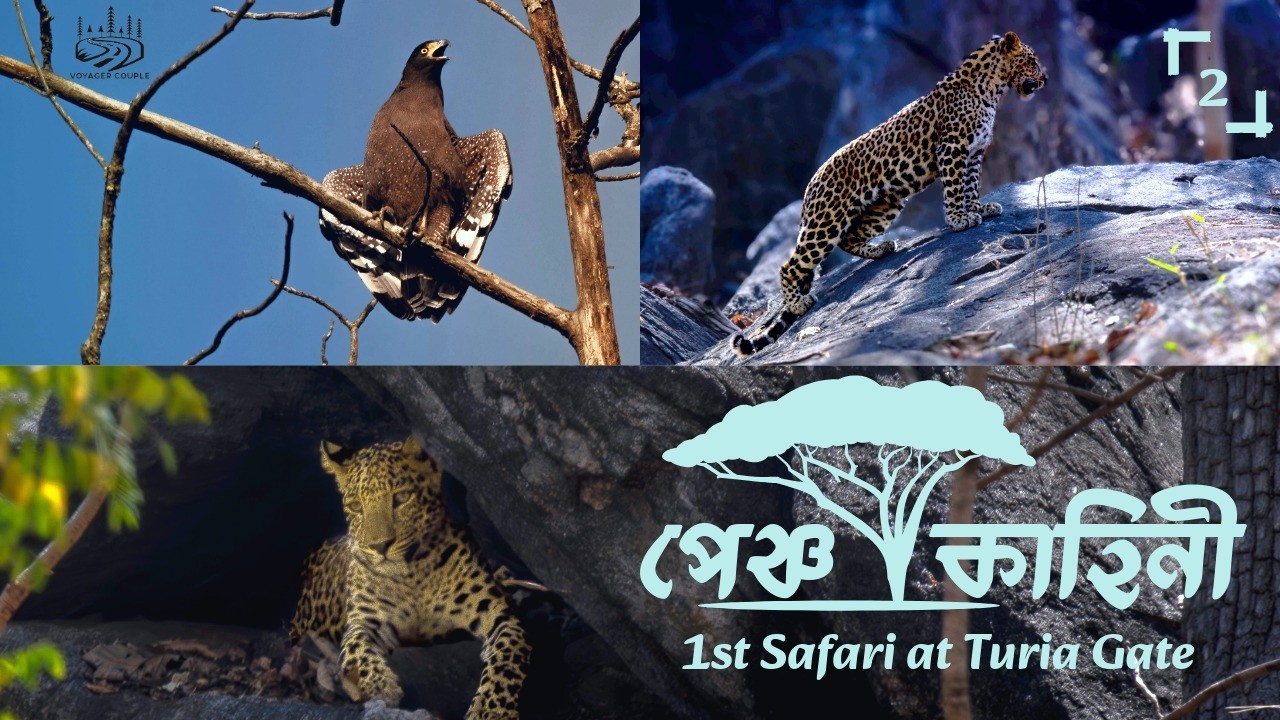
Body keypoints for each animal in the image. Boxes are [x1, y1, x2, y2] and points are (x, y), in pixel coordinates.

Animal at [289, 435, 530, 719]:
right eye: (356, 506)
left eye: (402, 497)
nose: (380, 546)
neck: (413, 576)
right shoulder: (364, 621)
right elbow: (356, 647)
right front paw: (381, 685)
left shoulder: (499, 616)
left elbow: (507, 659)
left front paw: (491, 709)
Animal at [731, 31, 1047, 357]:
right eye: (1032, 61)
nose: (1045, 78)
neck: (992, 90)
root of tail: (810, 185)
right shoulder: (951, 149)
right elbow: (954, 188)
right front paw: (959, 219)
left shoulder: (974, 153)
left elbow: (971, 185)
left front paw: (979, 208)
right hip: (826, 220)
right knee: (791, 265)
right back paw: (798, 303)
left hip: (886, 205)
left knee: (849, 239)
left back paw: (881, 249)